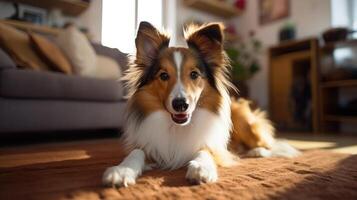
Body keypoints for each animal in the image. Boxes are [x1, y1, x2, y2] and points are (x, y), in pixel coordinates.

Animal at [102, 21, 298, 187]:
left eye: (194, 74)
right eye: (163, 75)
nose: (181, 105)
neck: (177, 128)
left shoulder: (213, 146)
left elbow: (205, 150)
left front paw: (202, 168)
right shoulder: (147, 144)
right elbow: (136, 153)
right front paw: (122, 170)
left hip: (245, 122)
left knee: (269, 144)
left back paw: (257, 151)